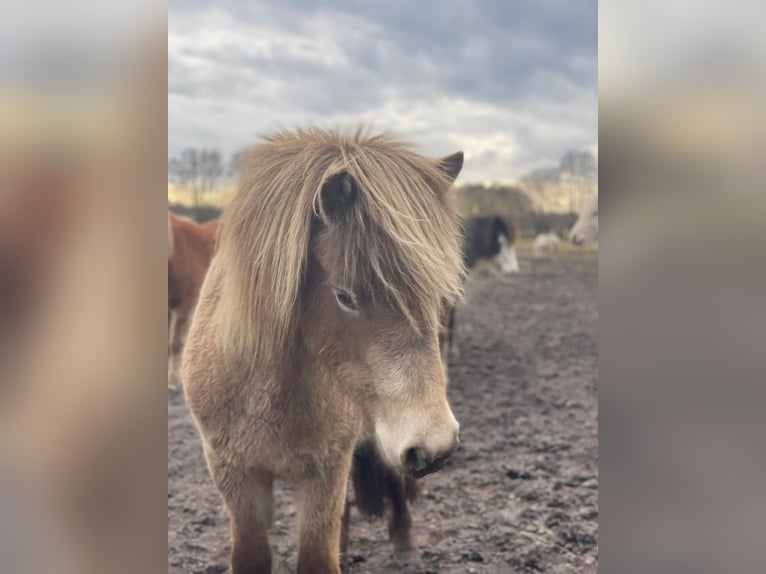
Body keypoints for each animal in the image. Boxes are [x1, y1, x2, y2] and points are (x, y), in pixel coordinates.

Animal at [181, 129, 465, 574]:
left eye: (439, 298)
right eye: (345, 296)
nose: (436, 446)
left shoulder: (325, 474)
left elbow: (317, 555)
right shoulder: (235, 477)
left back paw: (404, 544)